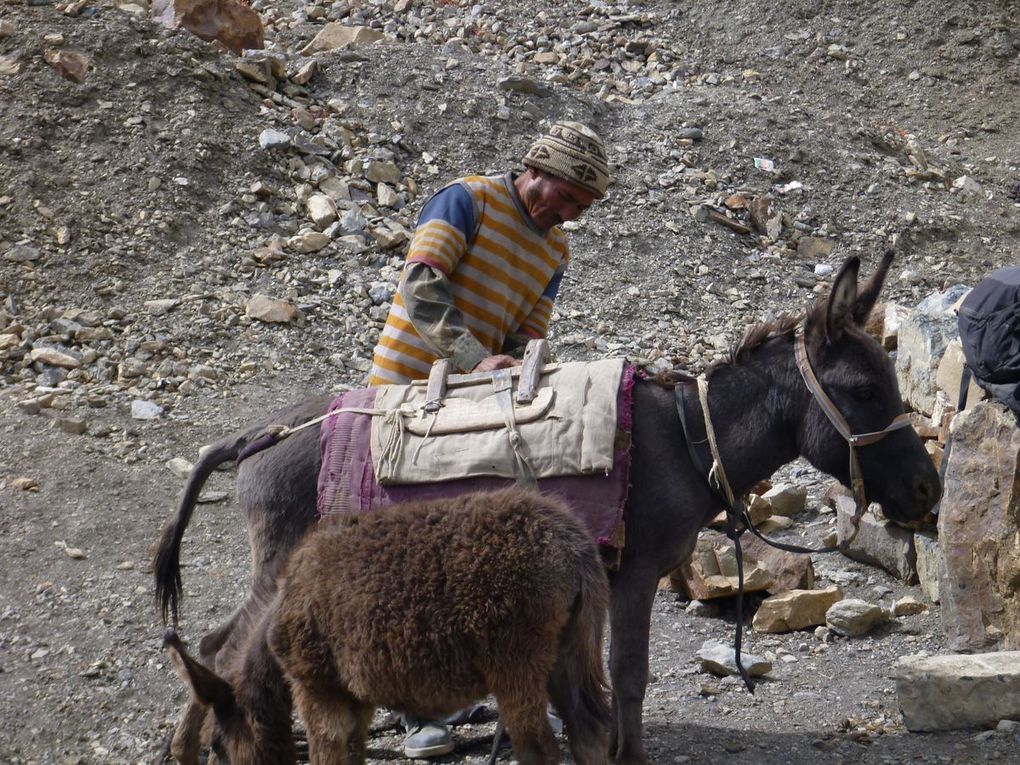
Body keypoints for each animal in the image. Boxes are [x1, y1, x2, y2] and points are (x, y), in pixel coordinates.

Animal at [164, 491, 607, 765]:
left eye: (216, 745)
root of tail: (574, 546)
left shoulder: (316, 690)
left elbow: (327, 755)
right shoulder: (355, 700)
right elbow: (353, 755)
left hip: (515, 664)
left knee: (540, 749)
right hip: (564, 656)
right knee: (589, 736)